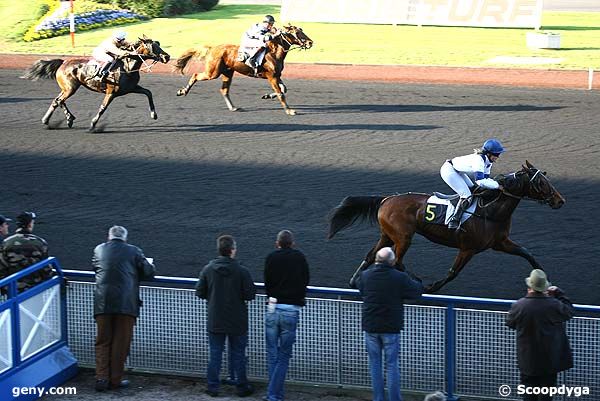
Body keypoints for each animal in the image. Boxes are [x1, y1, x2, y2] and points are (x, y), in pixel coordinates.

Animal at [21, 36, 169, 129]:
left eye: (158, 44)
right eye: (153, 47)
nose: (167, 57)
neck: (128, 67)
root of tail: (63, 62)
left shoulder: (131, 88)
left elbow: (148, 92)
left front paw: (154, 114)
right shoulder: (111, 92)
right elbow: (103, 108)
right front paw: (93, 124)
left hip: (68, 88)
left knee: (57, 100)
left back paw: (60, 119)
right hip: (70, 88)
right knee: (59, 101)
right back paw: (59, 119)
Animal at [173, 24, 314, 115]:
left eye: (301, 30)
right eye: (296, 32)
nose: (310, 42)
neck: (274, 53)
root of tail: (213, 48)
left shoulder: (277, 75)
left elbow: (284, 89)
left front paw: (267, 96)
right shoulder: (271, 76)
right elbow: (281, 93)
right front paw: (289, 110)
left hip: (228, 72)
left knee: (224, 90)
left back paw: (233, 107)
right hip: (212, 72)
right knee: (196, 75)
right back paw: (182, 91)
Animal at [328, 161, 568, 292]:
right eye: (541, 182)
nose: (560, 201)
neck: (490, 212)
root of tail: (387, 199)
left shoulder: (500, 243)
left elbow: (527, 253)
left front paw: (545, 278)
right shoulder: (468, 248)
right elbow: (453, 272)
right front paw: (433, 286)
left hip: (387, 234)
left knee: (372, 255)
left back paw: (354, 281)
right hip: (403, 237)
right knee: (397, 261)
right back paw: (417, 281)